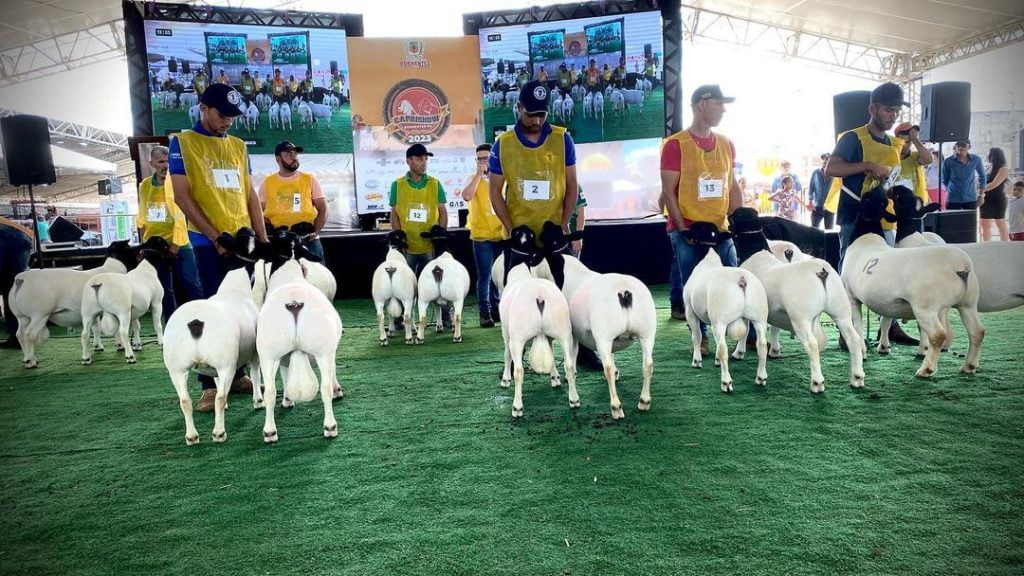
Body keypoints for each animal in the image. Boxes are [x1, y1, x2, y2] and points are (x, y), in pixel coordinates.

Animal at [161, 266, 262, 444]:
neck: (233, 290)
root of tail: (195, 323)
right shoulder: (254, 353)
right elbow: (256, 376)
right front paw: (258, 402)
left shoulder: (212, 368)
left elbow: (215, 381)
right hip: (226, 364)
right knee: (219, 398)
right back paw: (219, 433)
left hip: (176, 368)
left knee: (185, 401)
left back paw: (192, 436)